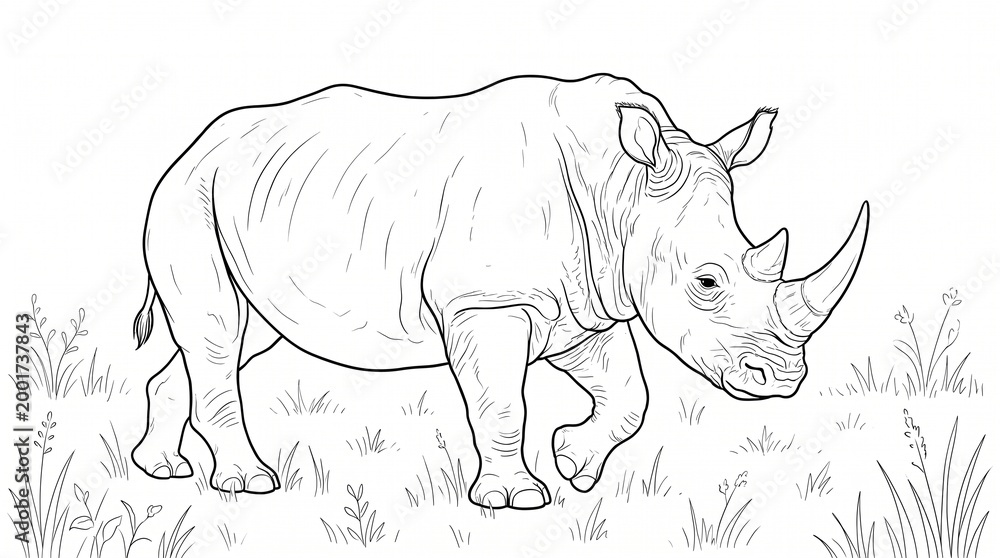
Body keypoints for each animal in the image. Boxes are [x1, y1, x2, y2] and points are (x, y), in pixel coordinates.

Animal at [131, 74, 868, 509]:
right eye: (707, 282)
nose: (783, 380)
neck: (621, 190)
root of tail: (191, 147)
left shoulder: (584, 307)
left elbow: (630, 394)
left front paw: (574, 465)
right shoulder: (486, 303)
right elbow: (502, 402)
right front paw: (517, 499)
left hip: (244, 200)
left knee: (236, 337)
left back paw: (161, 470)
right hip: (189, 196)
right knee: (218, 332)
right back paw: (251, 485)